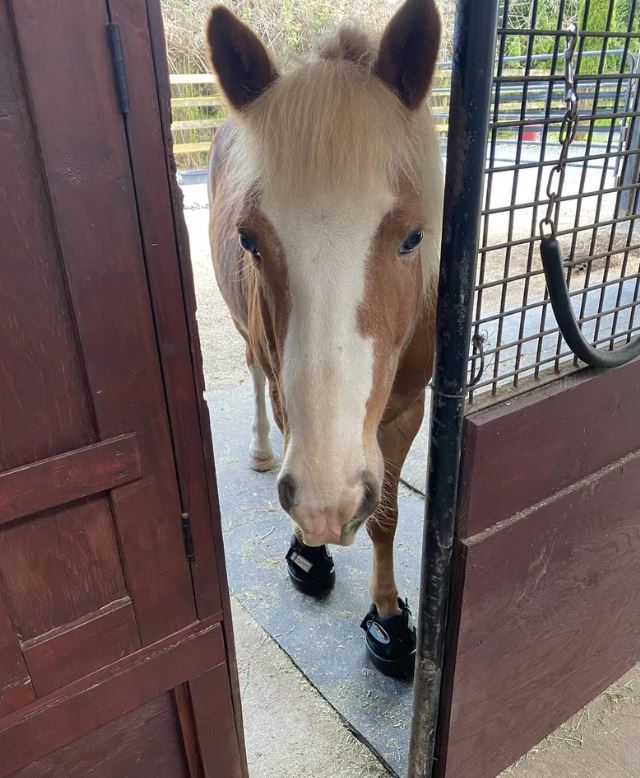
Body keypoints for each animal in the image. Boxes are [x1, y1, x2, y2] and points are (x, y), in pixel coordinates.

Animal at [207, 0, 442, 676]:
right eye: (250, 239)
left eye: (413, 237)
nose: (326, 502)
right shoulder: (289, 395)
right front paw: (309, 553)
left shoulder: (407, 408)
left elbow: (387, 516)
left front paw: (389, 617)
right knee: (254, 375)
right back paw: (262, 449)